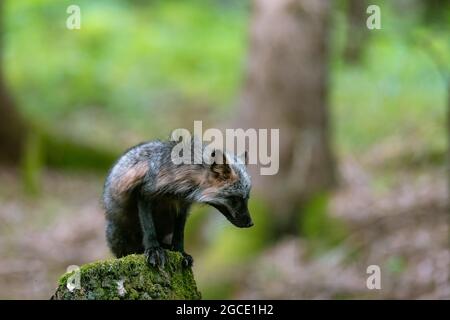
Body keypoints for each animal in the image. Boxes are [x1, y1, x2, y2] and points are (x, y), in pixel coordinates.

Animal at [101, 138, 253, 268]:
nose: (250, 224)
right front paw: (154, 249)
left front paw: (180, 253)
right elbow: (149, 228)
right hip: (119, 236)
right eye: (235, 199)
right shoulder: (144, 193)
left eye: (246, 198)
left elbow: (179, 233)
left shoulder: (183, 205)